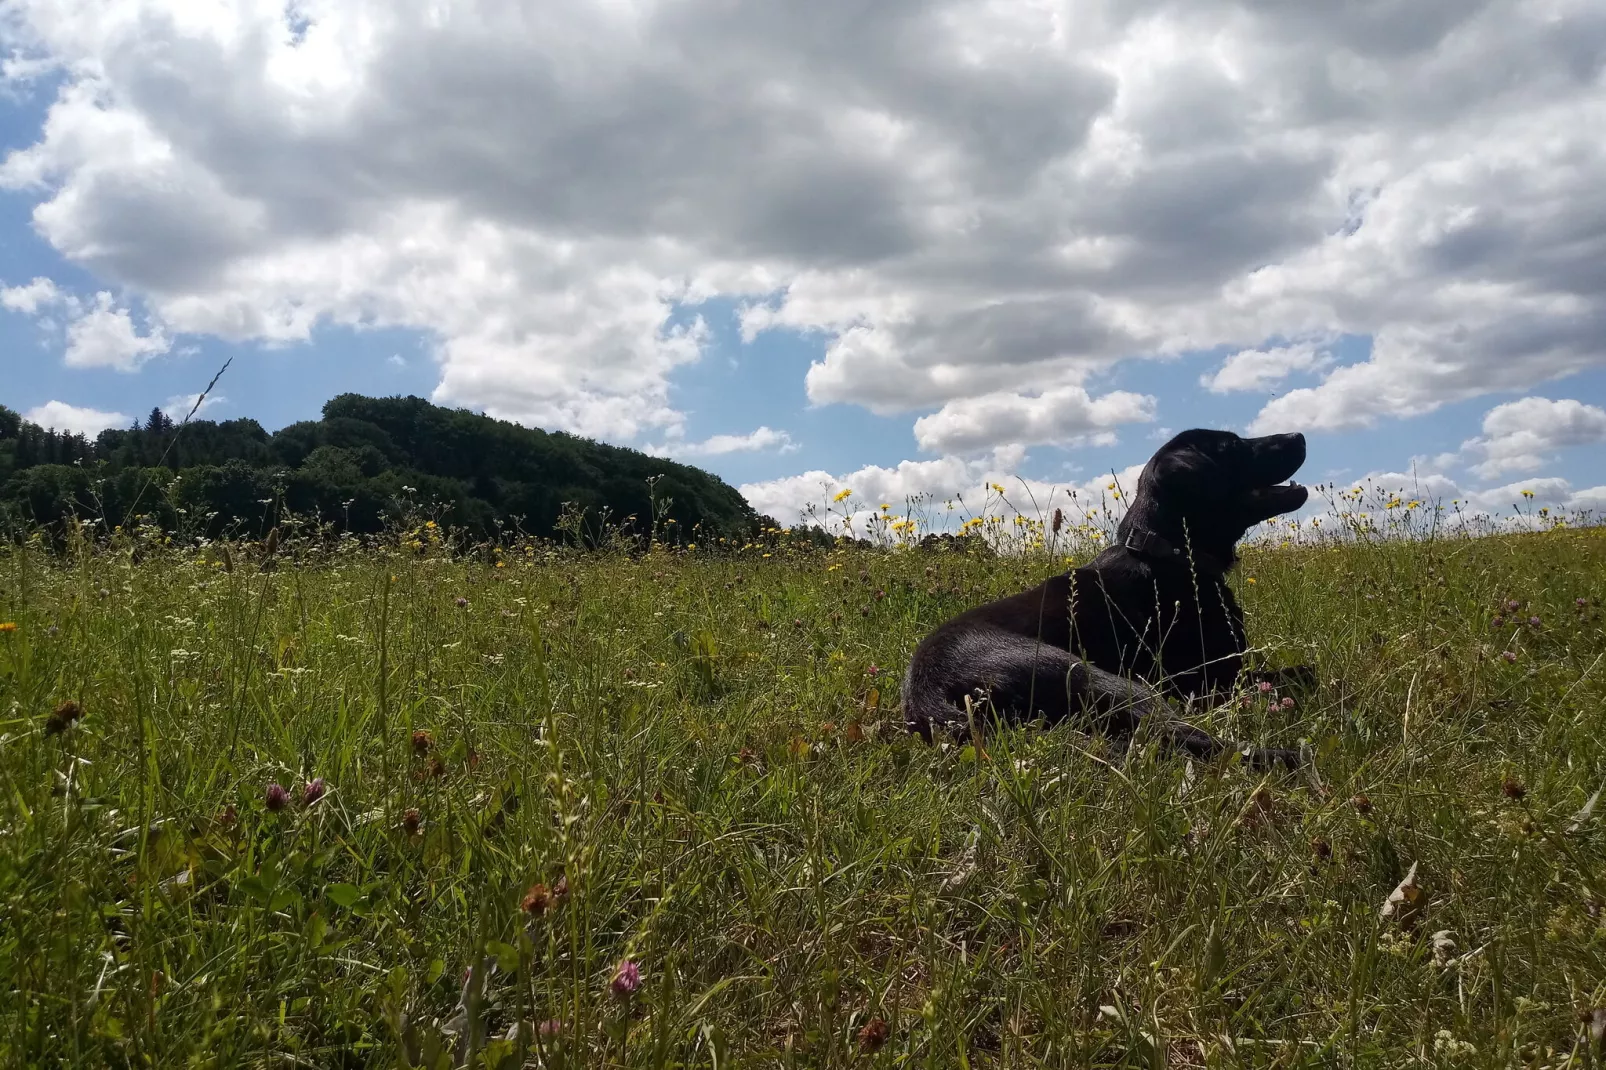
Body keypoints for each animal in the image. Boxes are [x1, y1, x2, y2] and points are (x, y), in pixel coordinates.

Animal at [899, 427, 1310, 767]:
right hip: (1100, 678)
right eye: (1232, 446)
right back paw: (1289, 758)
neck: (1166, 553)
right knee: (1188, 740)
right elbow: (1303, 674)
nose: (1300, 436)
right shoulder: (1207, 680)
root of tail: (929, 698)